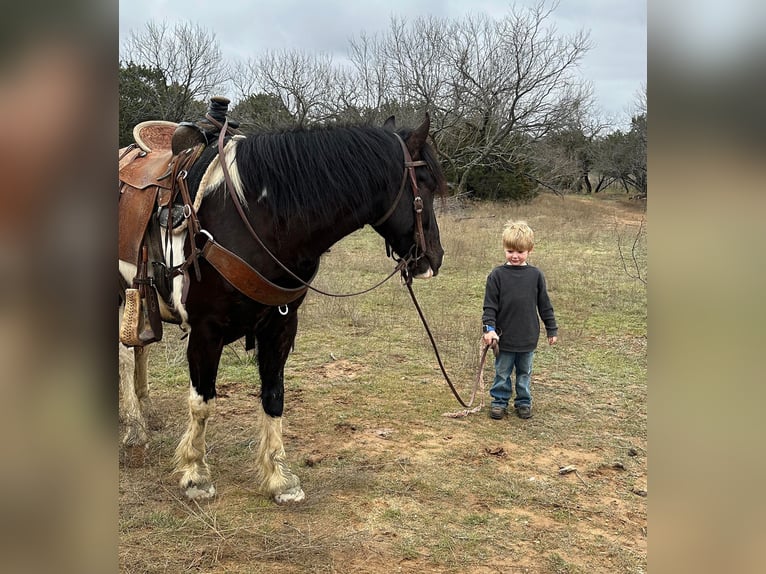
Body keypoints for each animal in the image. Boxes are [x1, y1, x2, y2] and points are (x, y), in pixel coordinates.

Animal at [117, 113, 448, 504]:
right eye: (426, 185)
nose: (434, 258)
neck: (253, 216)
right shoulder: (206, 329)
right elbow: (202, 401)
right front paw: (196, 474)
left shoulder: (280, 325)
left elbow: (274, 396)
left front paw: (280, 478)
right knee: (125, 357)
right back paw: (134, 429)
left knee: (138, 351)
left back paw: (146, 413)